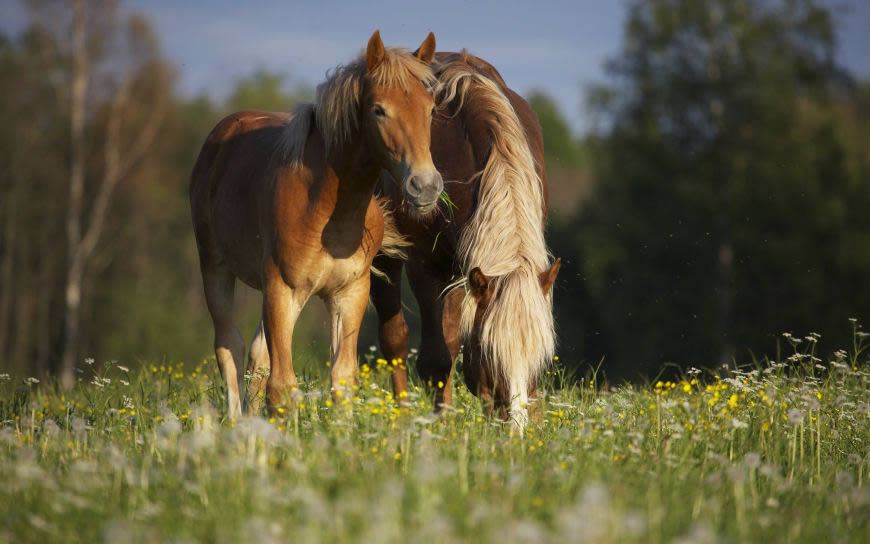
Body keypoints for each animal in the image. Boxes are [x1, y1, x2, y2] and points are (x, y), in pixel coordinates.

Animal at [191, 31, 442, 418]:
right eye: (379, 110)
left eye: (431, 109)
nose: (425, 186)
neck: (327, 209)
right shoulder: (282, 288)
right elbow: (281, 386)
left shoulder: (349, 294)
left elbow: (342, 379)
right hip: (217, 268)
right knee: (229, 347)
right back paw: (235, 421)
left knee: (256, 355)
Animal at [372, 51, 564, 428]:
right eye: (490, 353)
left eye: (541, 356)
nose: (516, 428)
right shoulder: (425, 266)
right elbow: (435, 360)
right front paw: (442, 430)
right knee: (395, 340)